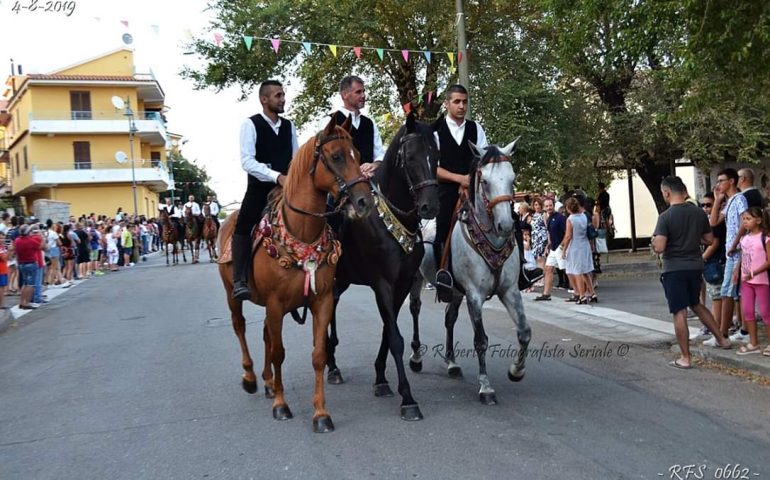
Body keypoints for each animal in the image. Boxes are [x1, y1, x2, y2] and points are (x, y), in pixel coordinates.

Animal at [216, 116, 372, 432]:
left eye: (358, 155)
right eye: (336, 156)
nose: (364, 202)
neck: (302, 233)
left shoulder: (321, 300)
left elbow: (318, 354)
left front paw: (321, 413)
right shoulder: (276, 304)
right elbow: (279, 352)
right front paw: (281, 404)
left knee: (264, 334)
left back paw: (266, 383)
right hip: (233, 295)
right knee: (240, 327)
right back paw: (251, 378)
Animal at [324, 113, 438, 420]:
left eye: (436, 155)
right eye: (410, 157)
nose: (430, 207)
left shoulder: (403, 284)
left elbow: (389, 331)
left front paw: (381, 379)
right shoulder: (382, 284)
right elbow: (395, 337)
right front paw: (408, 398)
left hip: (342, 279)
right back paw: (332, 364)